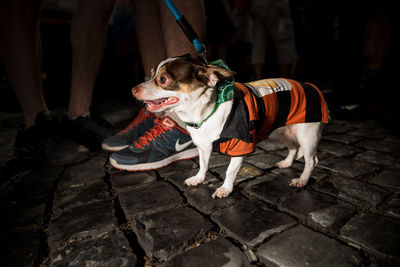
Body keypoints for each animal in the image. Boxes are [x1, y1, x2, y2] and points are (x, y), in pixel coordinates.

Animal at [131, 56, 328, 199]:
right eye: (151, 74)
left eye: (163, 79)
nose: (133, 89)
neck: (204, 111)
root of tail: (312, 86)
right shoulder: (203, 146)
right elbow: (203, 164)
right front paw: (199, 179)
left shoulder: (241, 146)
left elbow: (229, 171)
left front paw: (225, 189)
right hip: (281, 131)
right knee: (293, 147)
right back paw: (286, 162)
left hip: (307, 135)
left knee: (312, 160)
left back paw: (302, 180)